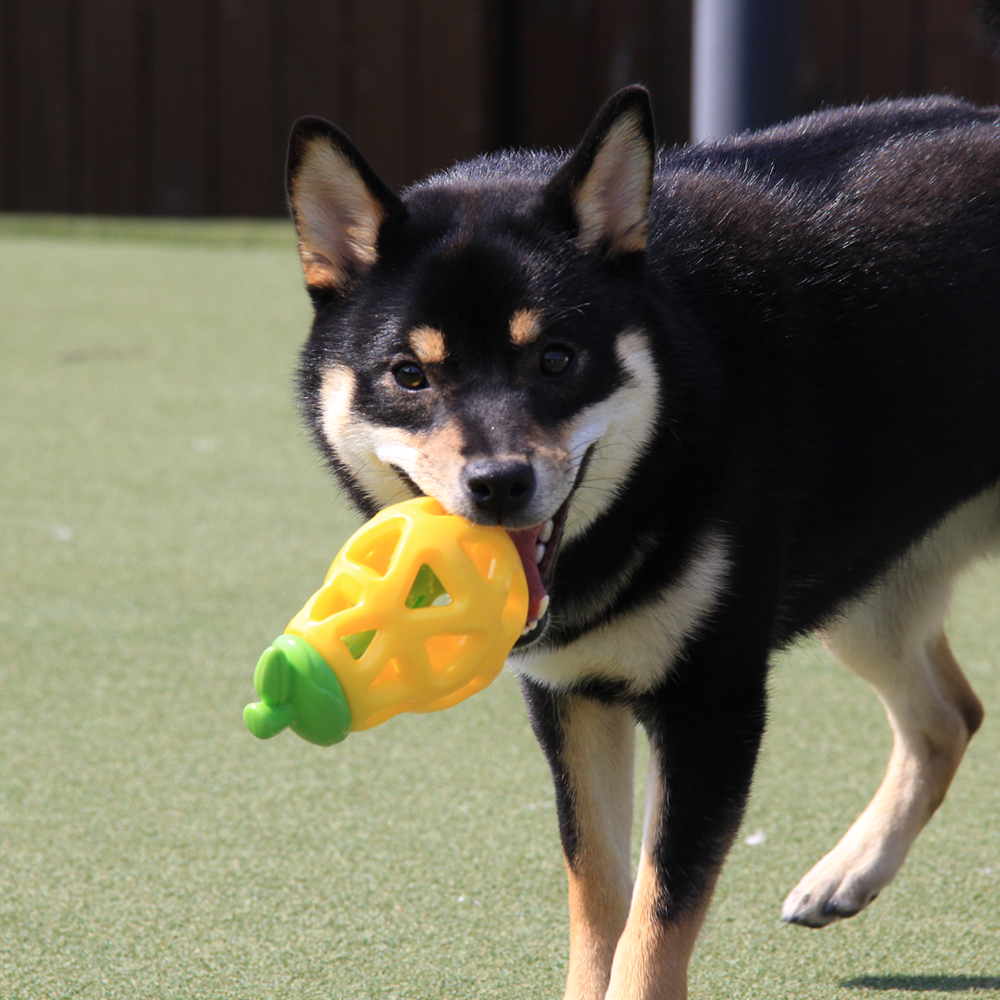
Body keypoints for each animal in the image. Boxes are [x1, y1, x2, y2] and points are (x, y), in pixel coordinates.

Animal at [284, 80, 1000, 1000]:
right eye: (410, 375)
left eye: (556, 359)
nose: (499, 483)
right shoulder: (570, 693)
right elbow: (599, 891)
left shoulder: (712, 701)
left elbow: (659, 917)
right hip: (868, 592)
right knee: (948, 716)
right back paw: (848, 874)